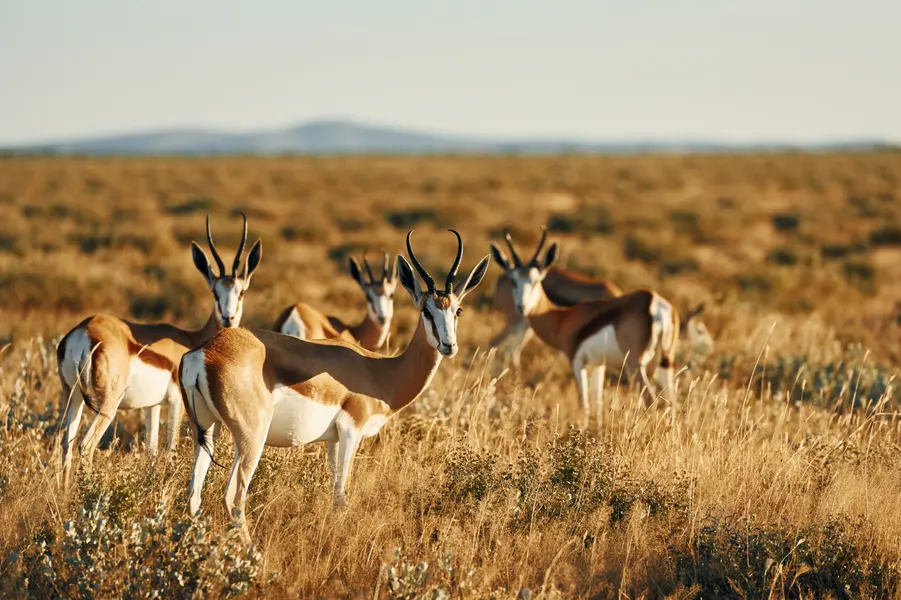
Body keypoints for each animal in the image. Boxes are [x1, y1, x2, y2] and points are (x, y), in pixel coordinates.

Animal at [56, 214, 262, 485]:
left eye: (242, 291)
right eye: (215, 292)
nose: (228, 318)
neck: (192, 339)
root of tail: (85, 330)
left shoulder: (151, 406)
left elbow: (151, 450)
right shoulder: (177, 401)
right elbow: (171, 447)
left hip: (74, 397)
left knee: (66, 446)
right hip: (108, 403)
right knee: (85, 446)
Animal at [178, 229, 490, 535]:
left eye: (457, 310)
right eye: (427, 311)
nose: (449, 346)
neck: (379, 371)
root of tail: (204, 351)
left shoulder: (333, 439)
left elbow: (332, 490)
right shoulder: (352, 431)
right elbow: (341, 496)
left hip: (207, 429)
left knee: (193, 495)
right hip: (251, 436)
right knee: (233, 497)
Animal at [489, 231, 622, 368]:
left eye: (535, 281)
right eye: (513, 282)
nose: (522, 306)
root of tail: (501, 279)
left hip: (525, 327)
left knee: (512, 351)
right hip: (515, 322)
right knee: (495, 343)